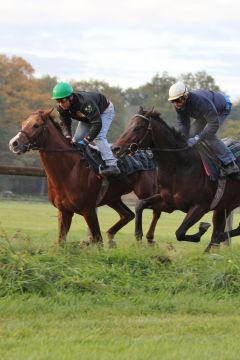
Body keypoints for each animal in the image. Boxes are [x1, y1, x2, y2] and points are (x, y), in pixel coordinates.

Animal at [8, 108, 159, 246]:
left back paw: (149, 239)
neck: (69, 169)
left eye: (36, 125)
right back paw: (112, 237)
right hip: (113, 198)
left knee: (154, 209)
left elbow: (98, 240)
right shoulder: (64, 211)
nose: (14, 143)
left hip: (147, 192)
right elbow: (61, 241)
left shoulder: (89, 210)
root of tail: (150, 153)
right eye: (23, 123)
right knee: (128, 214)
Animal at [113, 108, 240, 252]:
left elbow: (180, 232)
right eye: (128, 126)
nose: (115, 148)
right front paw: (138, 237)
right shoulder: (168, 202)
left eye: (137, 128)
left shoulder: (200, 207)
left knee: (223, 231)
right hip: (225, 205)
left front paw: (202, 229)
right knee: (219, 229)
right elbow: (140, 204)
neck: (181, 165)